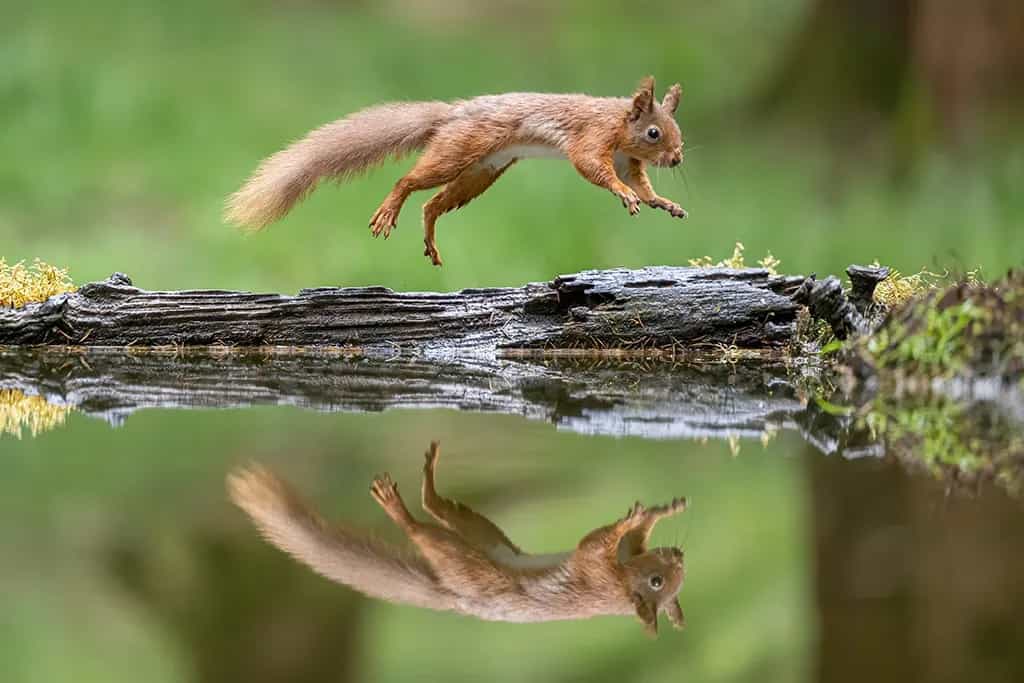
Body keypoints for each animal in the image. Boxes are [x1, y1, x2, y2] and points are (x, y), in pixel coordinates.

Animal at [225, 76, 687, 267]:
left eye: (676, 131)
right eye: (653, 133)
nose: (678, 159)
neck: (618, 124)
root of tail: (452, 114)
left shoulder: (626, 160)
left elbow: (640, 183)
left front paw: (664, 202)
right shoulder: (591, 139)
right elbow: (593, 167)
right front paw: (624, 195)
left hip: (481, 172)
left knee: (432, 204)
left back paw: (430, 237)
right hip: (458, 151)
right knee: (409, 181)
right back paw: (389, 208)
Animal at [227, 441, 687, 635]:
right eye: (658, 582)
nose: (680, 555)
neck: (620, 584)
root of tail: (453, 597)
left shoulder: (596, 571)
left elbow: (597, 542)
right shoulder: (608, 563)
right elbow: (621, 536)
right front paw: (657, 511)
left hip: (466, 557)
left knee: (424, 525)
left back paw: (397, 503)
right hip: (482, 536)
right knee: (436, 509)